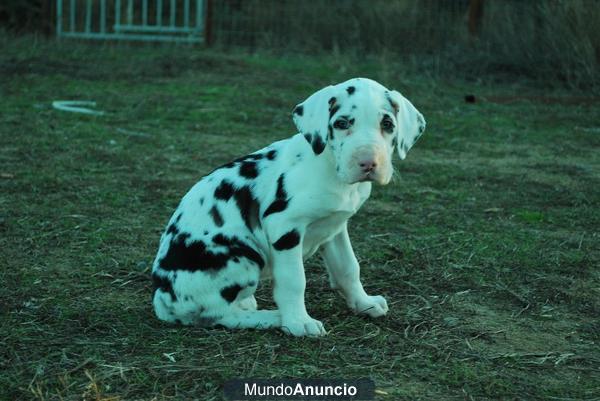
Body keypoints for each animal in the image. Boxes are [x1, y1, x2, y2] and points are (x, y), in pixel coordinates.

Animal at [155, 76, 426, 336]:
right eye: (342, 124)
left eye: (388, 124)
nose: (368, 162)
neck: (330, 169)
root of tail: (162, 301)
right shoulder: (285, 227)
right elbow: (294, 281)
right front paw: (298, 322)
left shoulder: (336, 227)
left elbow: (348, 268)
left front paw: (364, 303)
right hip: (243, 255)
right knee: (219, 314)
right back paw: (272, 317)